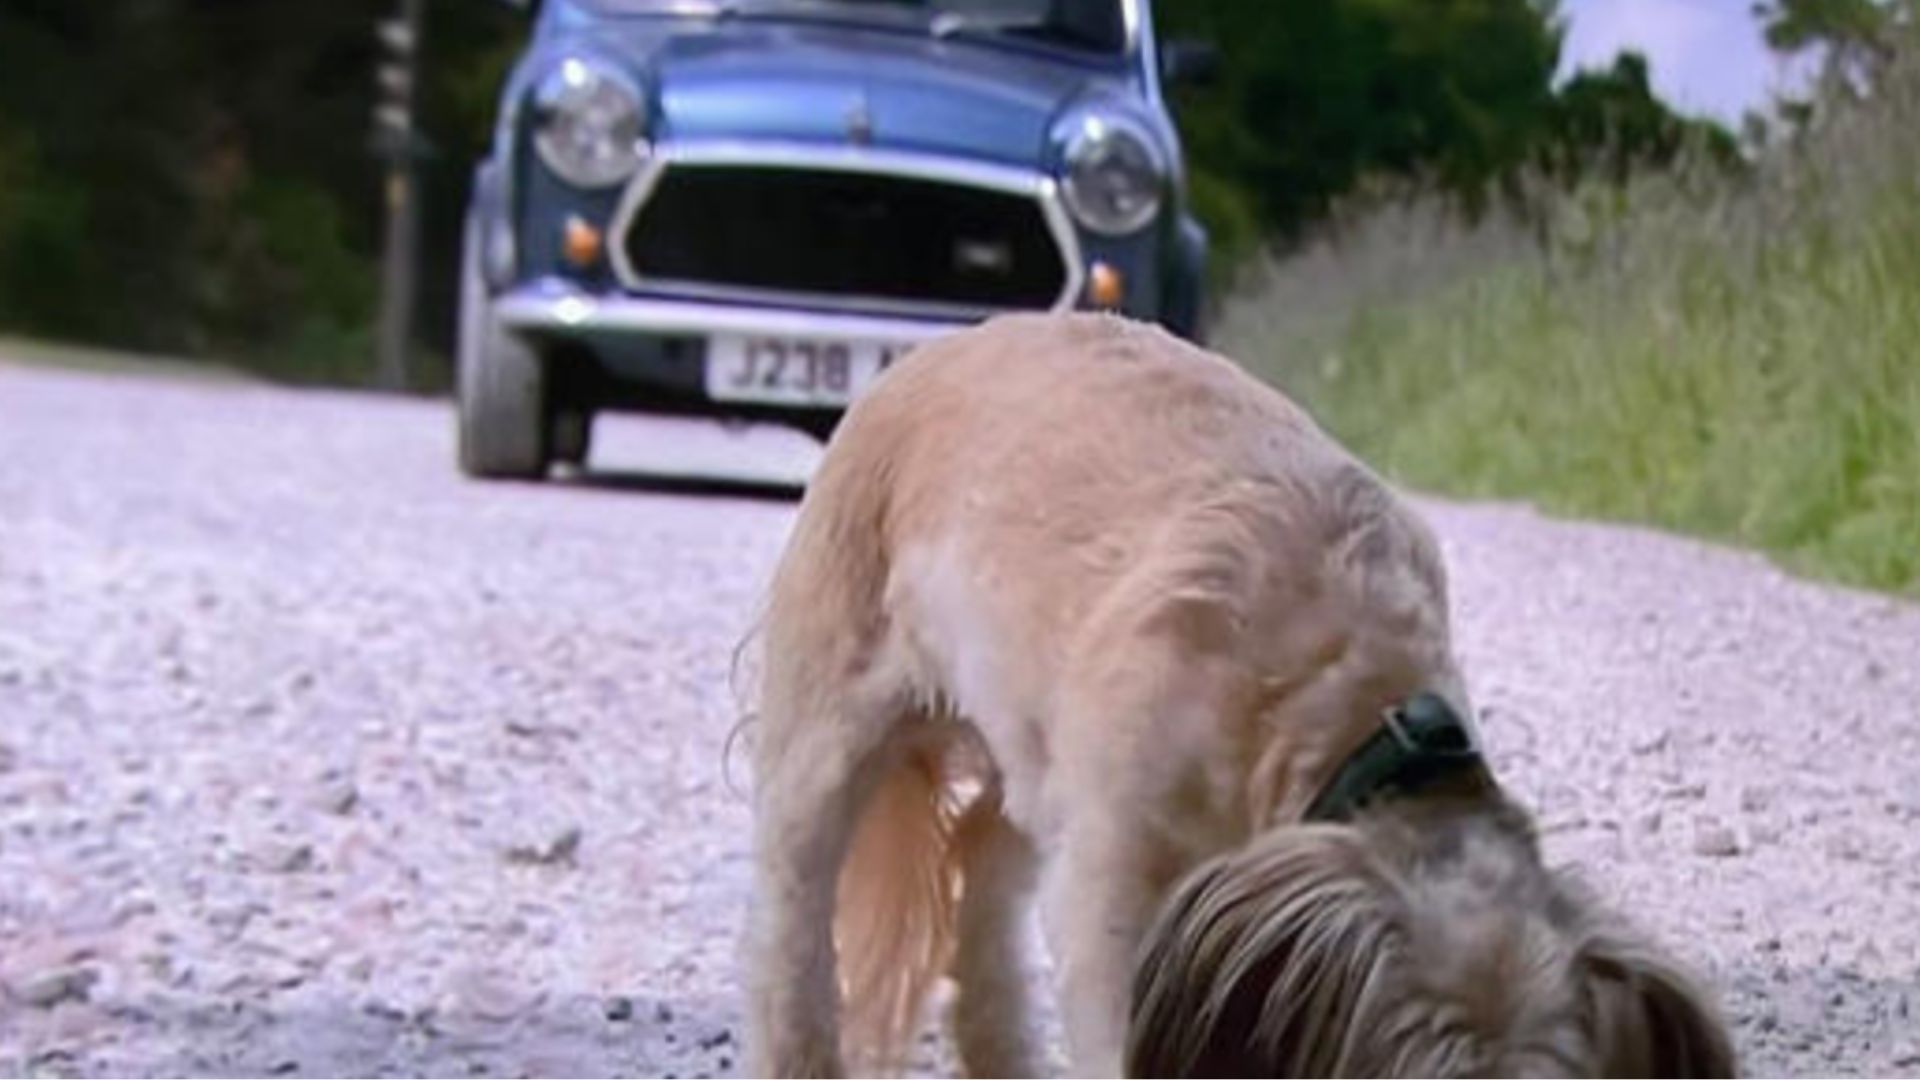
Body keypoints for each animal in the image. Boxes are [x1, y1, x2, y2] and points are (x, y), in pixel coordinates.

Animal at [741, 307, 1735, 1068]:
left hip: (1028, 740)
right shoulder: (1111, 879)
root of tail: (937, 348)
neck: (1349, 700)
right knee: (795, 928)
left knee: (984, 868)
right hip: (832, 724)